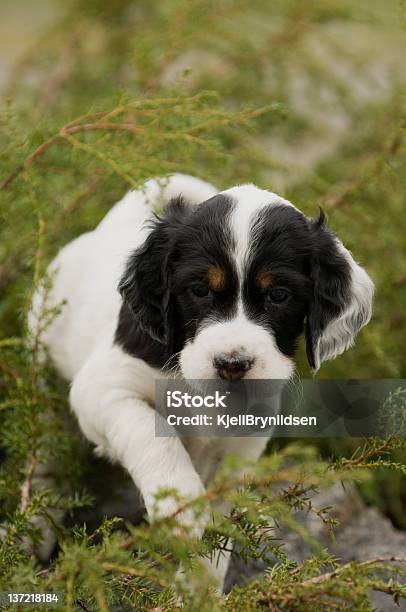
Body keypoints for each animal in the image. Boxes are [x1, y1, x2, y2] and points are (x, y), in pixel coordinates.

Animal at [30, 175, 374, 584]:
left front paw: (200, 586)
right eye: (199, 290)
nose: (232, 364)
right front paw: (180, 505)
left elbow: (221, 523)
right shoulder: (103, 389)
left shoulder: (240, 446)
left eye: (279, 295)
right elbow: (151, 431)